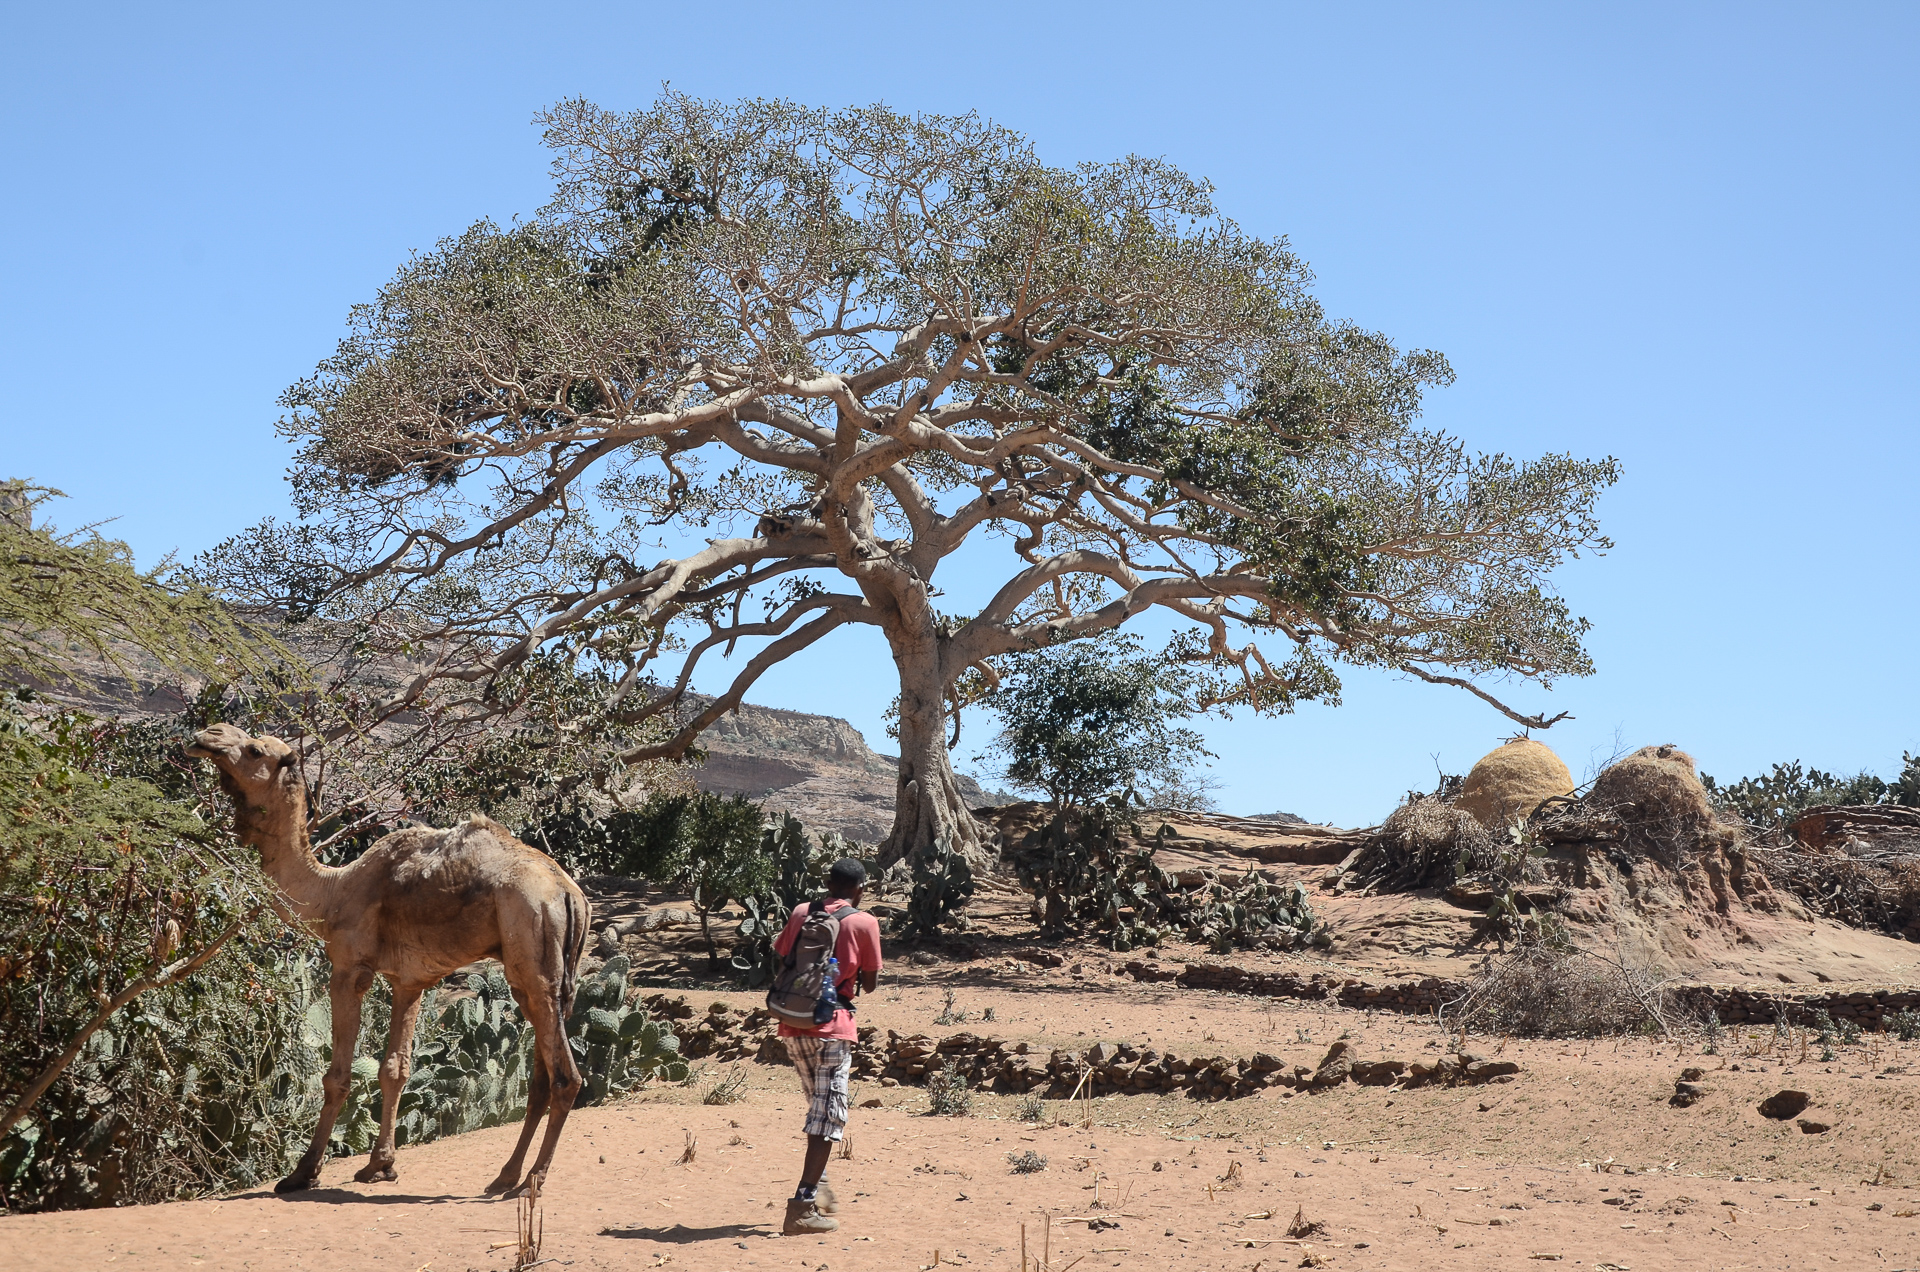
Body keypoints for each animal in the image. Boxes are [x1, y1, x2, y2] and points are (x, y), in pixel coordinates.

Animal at [191, 726, 591, 1198]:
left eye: (254, 749)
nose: (206, 736)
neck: (334, 891)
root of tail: (570, 895)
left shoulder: (349, 969)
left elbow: (338, 1075)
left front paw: (303, 1172)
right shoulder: (409, 981)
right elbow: (395, 1069)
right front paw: (380, 1165)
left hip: (532, 945)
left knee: (566, 1077)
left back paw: (533, 1180)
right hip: (545, 975)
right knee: (541, 1076)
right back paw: (505, 1175)